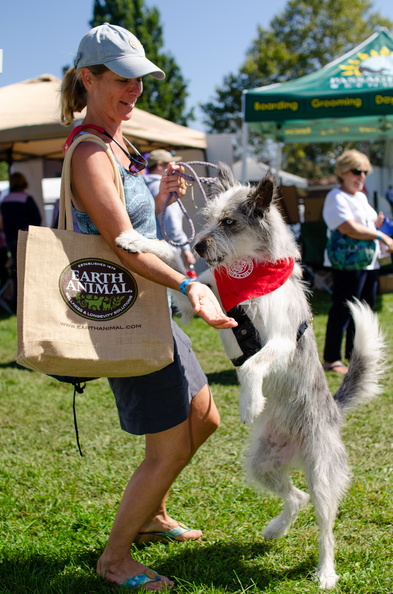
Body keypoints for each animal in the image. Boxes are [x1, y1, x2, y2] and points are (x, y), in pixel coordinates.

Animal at [115, 162, 382, 588]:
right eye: (207, 219)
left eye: (229, 222)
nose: (200, 245)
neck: (247, 273)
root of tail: (333, 412)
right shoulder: (195, 301)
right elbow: (176, 261)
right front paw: (138, 241)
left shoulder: (280, 340)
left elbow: (254, 364)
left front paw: (250, 401)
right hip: (261, 464)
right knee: (296, 497)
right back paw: (276, 528)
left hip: (322, 474)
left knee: (324, 525)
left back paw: (326, 573)